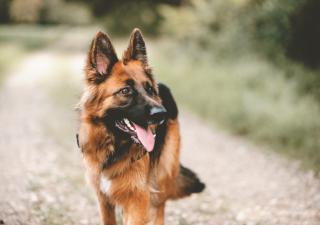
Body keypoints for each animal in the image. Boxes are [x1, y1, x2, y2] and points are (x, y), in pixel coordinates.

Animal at [79, 28, 206, 225]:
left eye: (149, 89)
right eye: (126, 91)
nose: (161, 114)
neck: (114, 148)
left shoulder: (138, 199)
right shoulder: (104, 200)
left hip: (162, 175)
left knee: (160, 208)